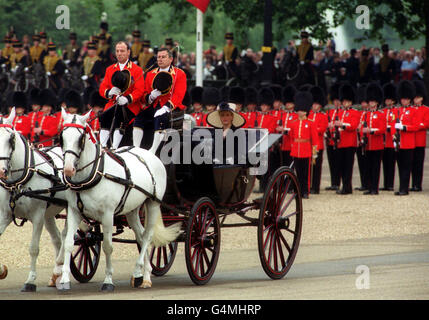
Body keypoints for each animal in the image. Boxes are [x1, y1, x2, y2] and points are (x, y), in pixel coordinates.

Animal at [0, 109, 67, 292]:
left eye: (11, 139)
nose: (1, 171)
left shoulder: (37, 216)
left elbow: (33, 248)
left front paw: (30, 280)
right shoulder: (5, 215)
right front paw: (2, 270)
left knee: (67, 236)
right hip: (49, 213)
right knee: (58, 238)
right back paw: (56, 275)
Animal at [58, 110, 179, 292]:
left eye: (81, 138)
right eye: (62, 137)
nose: (68, 169)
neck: (94, 173)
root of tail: (151, 154)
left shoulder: (108, 214)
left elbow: (108, 246)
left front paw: (108, 280)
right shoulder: (74, 211)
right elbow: (68, 243)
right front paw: (65, 280)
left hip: (153, 204)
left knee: (148, 236)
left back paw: (139, 272)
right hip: (132, 210)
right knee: (141, 235)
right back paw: (145, 275)